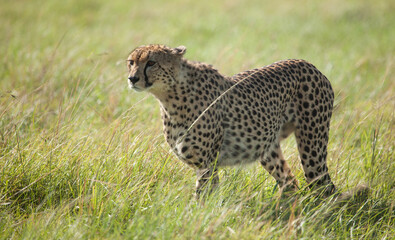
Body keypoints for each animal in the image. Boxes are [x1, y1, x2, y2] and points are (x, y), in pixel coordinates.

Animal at [127, 44, 338, 199]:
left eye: (151, 62)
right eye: (131, 62)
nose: (132, 78)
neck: (170, 97)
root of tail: (309, 64)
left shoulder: (207, 165)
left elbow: (202, 199)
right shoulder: (206, 166)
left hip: (312, 150)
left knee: (324, 188)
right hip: (268, 149)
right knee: (290, 182)